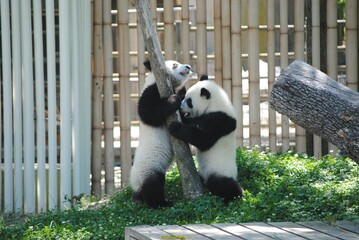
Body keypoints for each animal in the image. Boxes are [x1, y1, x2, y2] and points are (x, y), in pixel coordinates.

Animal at [130, 60, 193, 208]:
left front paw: (182, 93)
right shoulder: (151, 91)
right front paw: (175, 99)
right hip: (150, 165)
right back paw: (161, 203)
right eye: (175, 64)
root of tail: (135, 184)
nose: (188, 66)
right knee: (154, 184)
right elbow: (148, 112)